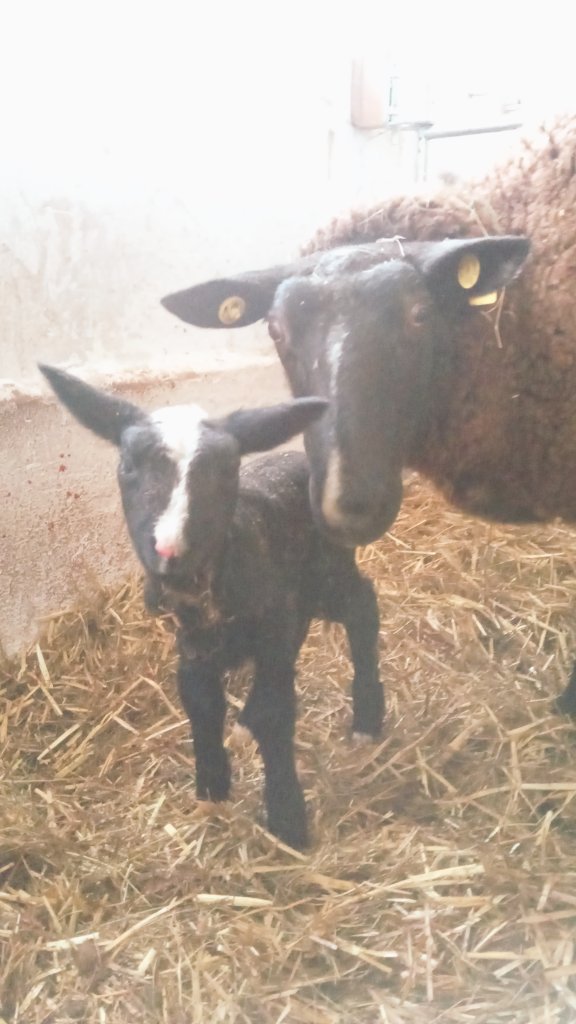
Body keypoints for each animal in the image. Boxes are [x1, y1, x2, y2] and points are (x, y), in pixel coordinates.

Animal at [39, 364, 383, 849]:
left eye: (227, 469)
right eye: (128, 465)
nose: (170, 553)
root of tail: (296, 459)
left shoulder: (271, 620)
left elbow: (277, 712)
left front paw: (287, 817)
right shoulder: (196, 643)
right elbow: (201, 702)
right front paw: (212, 786)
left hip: (328, 573)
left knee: (361, 608)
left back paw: (367, 717)